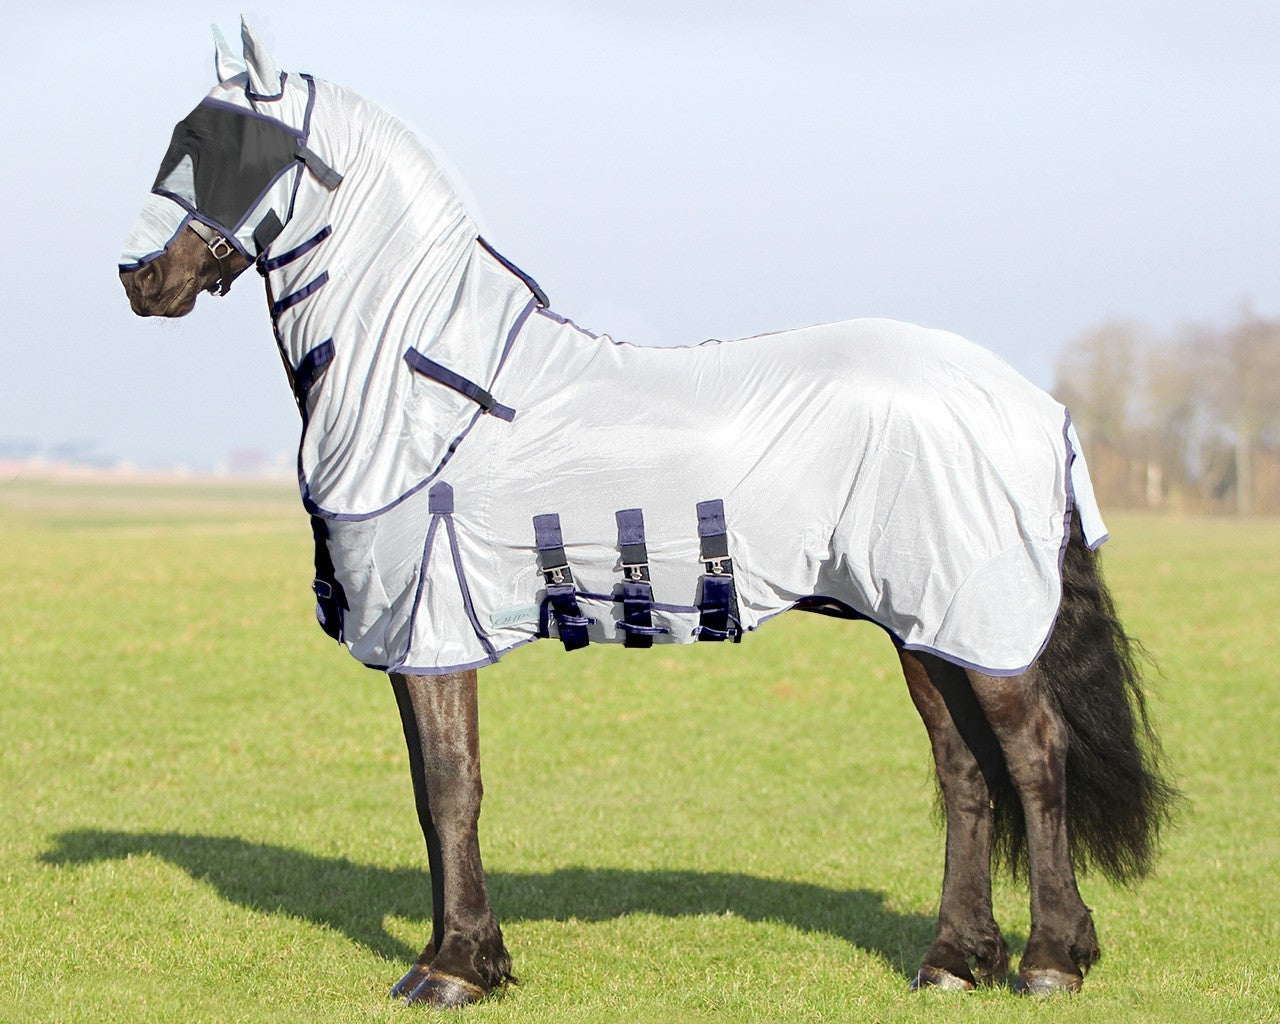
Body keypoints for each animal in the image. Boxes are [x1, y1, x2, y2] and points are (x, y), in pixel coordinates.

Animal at [118, 20, 1176, 1008]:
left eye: (226, 145)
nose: (140, 278)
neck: (429, 390)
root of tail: (1032, 404)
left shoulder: (433, 628)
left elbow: (453, 789)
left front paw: (457, 970)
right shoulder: (417, 640)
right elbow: (427, 792)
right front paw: (455, 956)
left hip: (974, 615)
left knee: (1033, 757)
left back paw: (1051, 960)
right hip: (924, 624)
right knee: (965, 772)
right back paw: (955, 960)